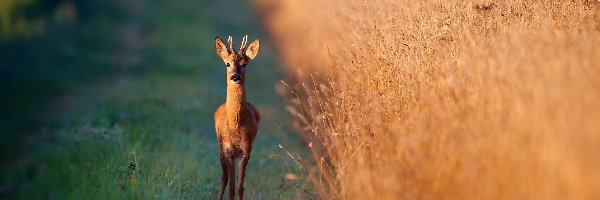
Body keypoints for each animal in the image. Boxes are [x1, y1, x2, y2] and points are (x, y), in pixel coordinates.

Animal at [214, 35, 262, 199]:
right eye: (227, 63)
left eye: (244, 64)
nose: (235, 76)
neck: (235, 126)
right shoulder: (227, 150)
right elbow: (231, 187)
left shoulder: (245, 151)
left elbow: (240, 187)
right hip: (220, 149)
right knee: (224, 178)